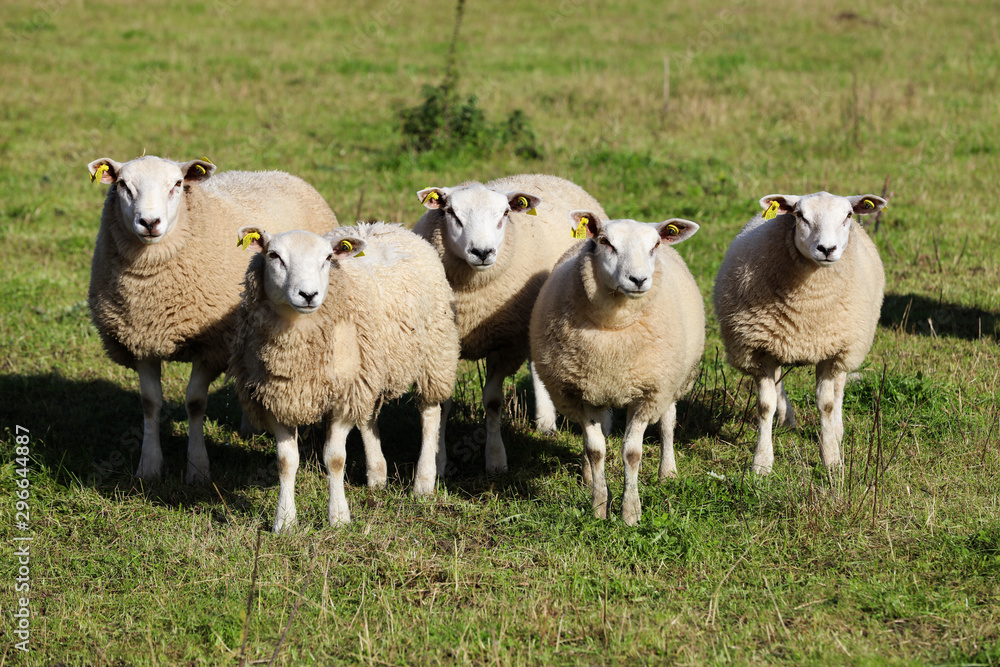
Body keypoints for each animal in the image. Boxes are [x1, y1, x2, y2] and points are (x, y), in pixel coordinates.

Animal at [87, 155, 338, 484]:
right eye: (122, 185)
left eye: (177, 184)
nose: (150, 223)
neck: (152, 290)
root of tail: (277, 173)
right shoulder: (140, 340)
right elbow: (150, 402)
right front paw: (149, 466)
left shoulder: (212, 345)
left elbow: (195, 403)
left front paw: (197, 468)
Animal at [229, 223, 460, 532]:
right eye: (274, 256)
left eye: (328, 258)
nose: (308, 294)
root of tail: (384, 225)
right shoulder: (276, 399)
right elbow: (285, 462)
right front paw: (285, 521)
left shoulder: (341, 397)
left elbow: (336, 459)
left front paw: (338, 517)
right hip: (368, 370)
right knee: (368, 417)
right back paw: (377, 475)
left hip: (434, 355)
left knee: (430, 413)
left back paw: (424, 482)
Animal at [413, 174, 608, 474]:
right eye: (451, 213)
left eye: (504, 214)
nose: (482, 252)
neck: (472, 301)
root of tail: (547, 176)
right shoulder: (443, 346)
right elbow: (443, 405)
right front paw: (439, 462)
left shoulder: (505, 344)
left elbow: (493, 403)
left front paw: (495, 460)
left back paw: (547, 423)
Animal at [529, 211, 705, 525]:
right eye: (605, 242)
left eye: (654, 245)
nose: (638, 279)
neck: (613, 334)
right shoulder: (581, 391)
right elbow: (596, 449)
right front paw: (599, 507)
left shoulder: (647, 393)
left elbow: (632, 453)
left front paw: (630, 513)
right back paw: (588, 476)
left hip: (672, 382)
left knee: (668, 423)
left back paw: (668, 472)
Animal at [713, 191, 887, 474]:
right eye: (800, 215)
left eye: (848, 215)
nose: (827, 249)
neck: (808, 311)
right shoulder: (762, 347)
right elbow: (765, 405)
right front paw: (762, 462)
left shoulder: (831, 348)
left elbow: (827, 404)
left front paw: (831, 459)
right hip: (778, 342)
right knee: (778, 383)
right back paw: (787, 419)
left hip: (846, 348)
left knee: (839, 386)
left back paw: (837, 430)